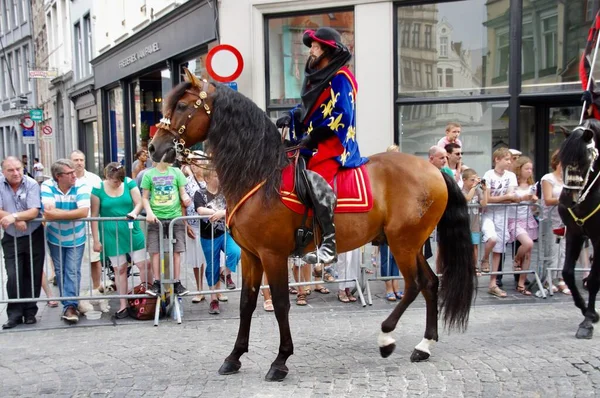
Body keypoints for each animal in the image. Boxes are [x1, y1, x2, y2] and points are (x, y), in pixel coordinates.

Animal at [148, 70, 476, 380]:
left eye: (181, 106)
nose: (153, 147)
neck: (260, 175)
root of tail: (434, 170)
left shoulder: (272, 254)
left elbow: (281, 303)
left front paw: (280, 360)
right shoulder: (251, 256)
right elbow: (246, 303)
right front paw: (234, 356)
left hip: (402, 243)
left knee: (415, 284)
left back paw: (387, 337)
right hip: (411, 243)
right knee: (430, 283)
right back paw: (424, 345)